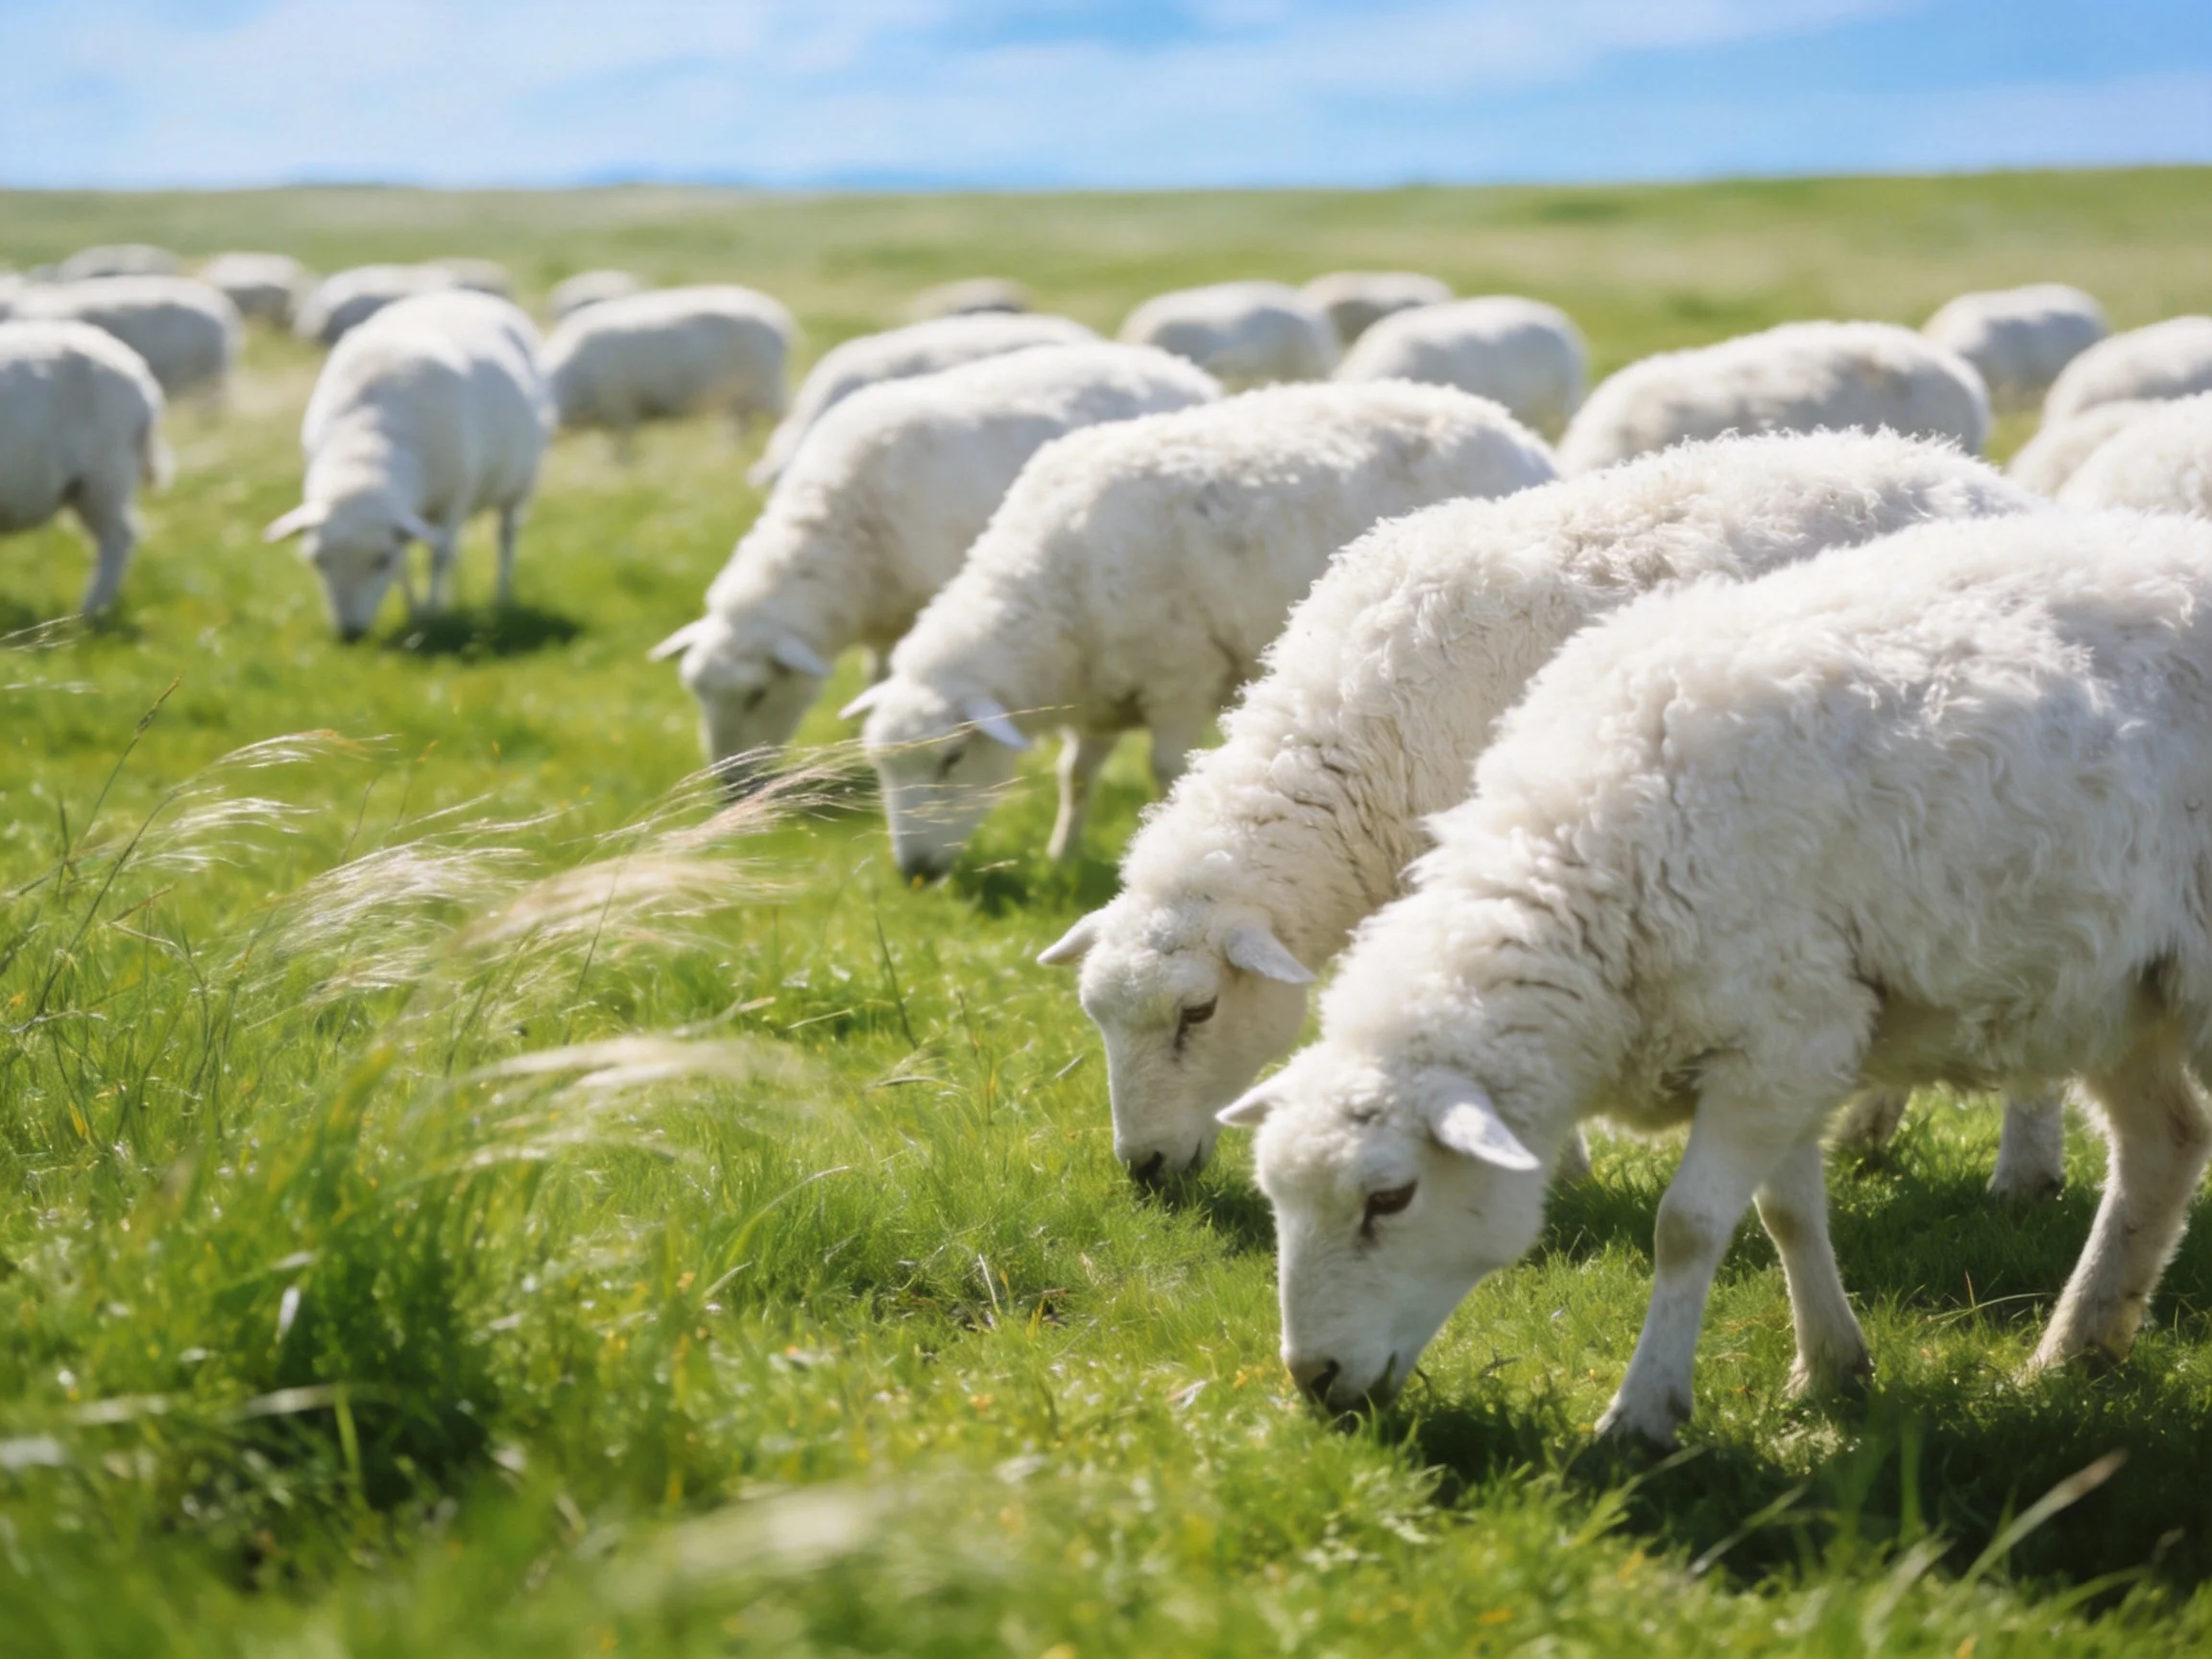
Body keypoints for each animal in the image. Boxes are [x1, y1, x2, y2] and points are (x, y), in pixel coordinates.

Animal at [264, 291, 551, 640]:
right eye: (318, 561)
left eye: (380, 561)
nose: (350, 634)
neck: (366, 441)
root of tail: (461, 294)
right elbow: (409, 562)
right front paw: (417, 614)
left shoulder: (456, 498)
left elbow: (436, 558)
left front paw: (434, 613)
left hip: (518, 485)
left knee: (504, 536)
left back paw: (502, 598)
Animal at [656, 343, 1219, 775]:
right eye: (696, 691)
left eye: (756, 694)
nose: (731, 786)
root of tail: (1172, 364)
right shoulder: (886, 615)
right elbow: (878, 680)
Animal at [850, 381, 1556, 881]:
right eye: (881, 768)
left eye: (952, 759)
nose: (914, 874)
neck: (1052, 584)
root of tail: (1514, 431)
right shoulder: (1101, 694)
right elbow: (1075, 777)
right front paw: (1061, 855)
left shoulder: (1178, 678)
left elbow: (1165, 772)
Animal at [1041, 430, 2039, 1184]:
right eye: (1095, 1016)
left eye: (1198, 1012)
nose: (1145, 1170)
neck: (1358, 740)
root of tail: (1981, 477)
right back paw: (1873, 1130)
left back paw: (2019, 1176)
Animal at [1220, 507, 2212, 1447]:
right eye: (1278, 1199)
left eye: (1389, 1198)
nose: (1314, 1379)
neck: (1587, 876)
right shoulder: (1792, 1046)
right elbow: (1789, 1212)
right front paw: (1832, 1368)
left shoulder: (1780, 1041)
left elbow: (1688, 1227)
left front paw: (1644, 1411)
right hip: (2117, 994)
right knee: (2164, 1146)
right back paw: (2075, 1350)